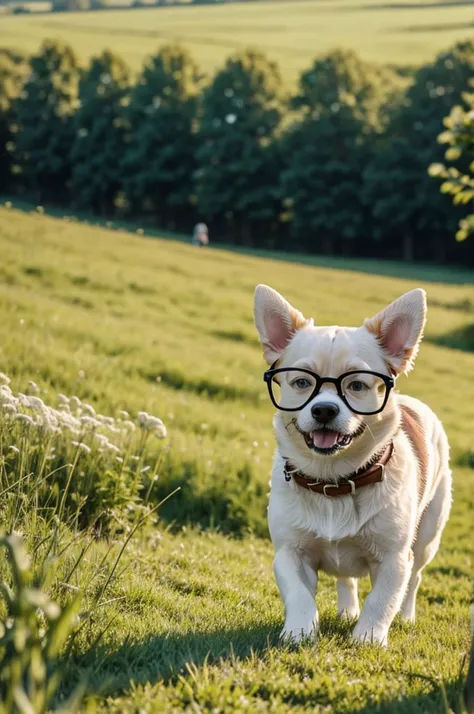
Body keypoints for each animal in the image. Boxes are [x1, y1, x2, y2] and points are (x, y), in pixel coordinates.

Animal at [254, 284, 454, 644]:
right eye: (302, 383)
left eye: (357, 385)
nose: (324, 409)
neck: (334, 480)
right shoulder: (289, 553)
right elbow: (299, 594)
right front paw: (299, 631)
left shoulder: (394, 559)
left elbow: (383, 600)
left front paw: (369, 638)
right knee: (345, 578)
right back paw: (347, 609)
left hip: (427, 538)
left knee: (415, 580)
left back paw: (406, 617)